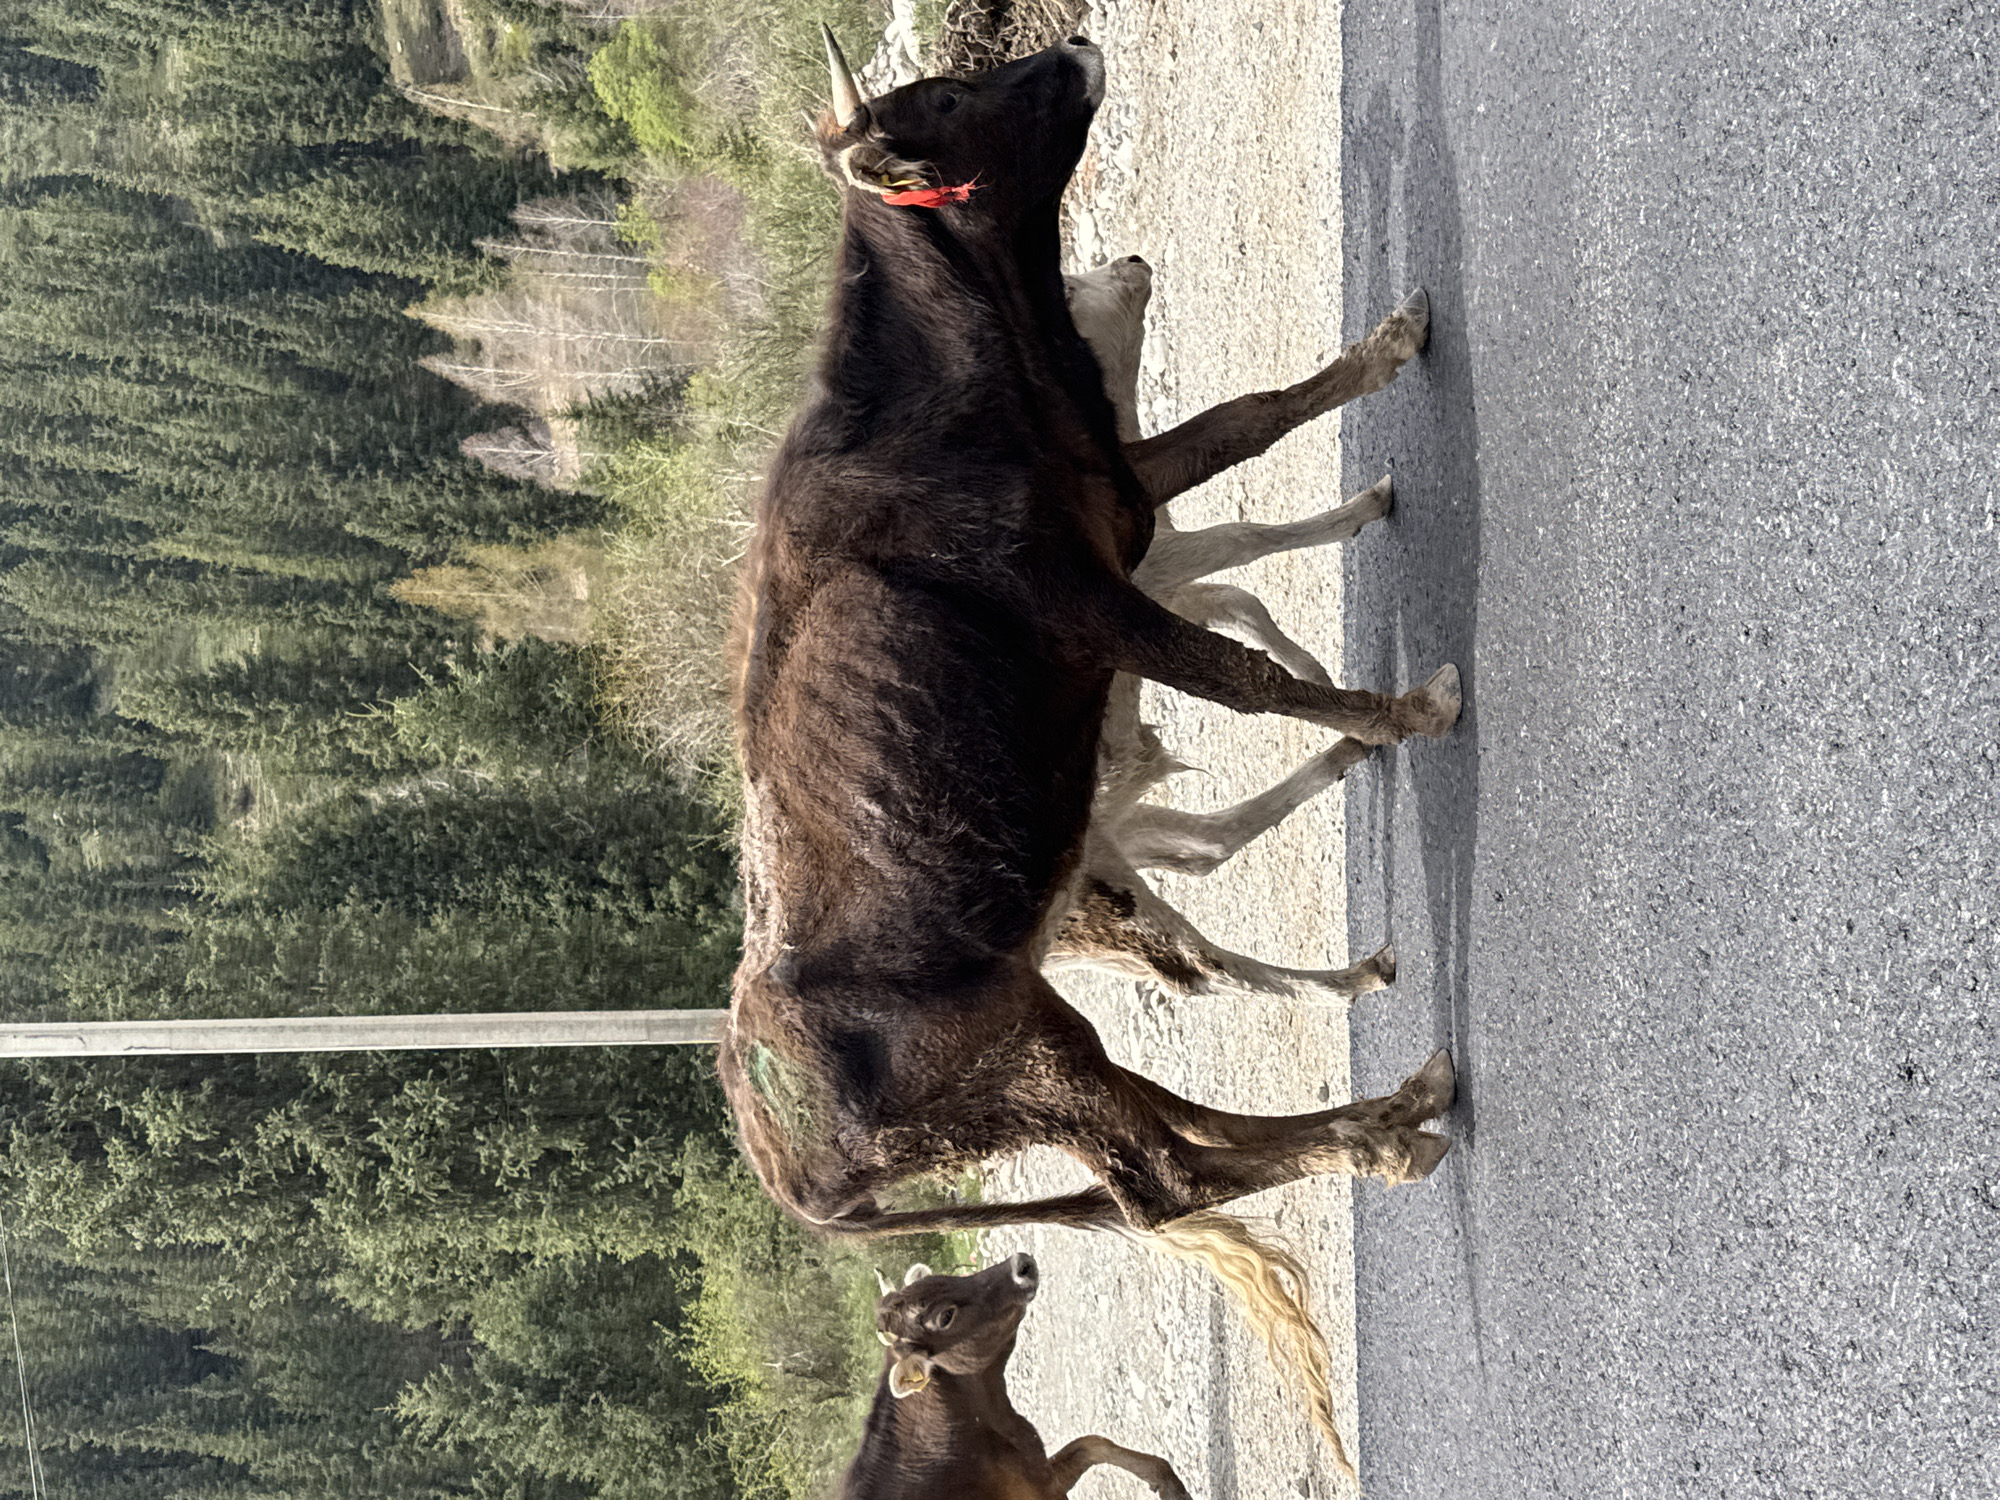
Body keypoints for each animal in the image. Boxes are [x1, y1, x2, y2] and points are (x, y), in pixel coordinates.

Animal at [845, 1254, 1191, 1500]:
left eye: (944, 1277)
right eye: (945, 1316)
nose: (1021, 1264)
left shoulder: (1041, 1476)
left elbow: (1093, 1444)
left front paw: (1168, 1484)